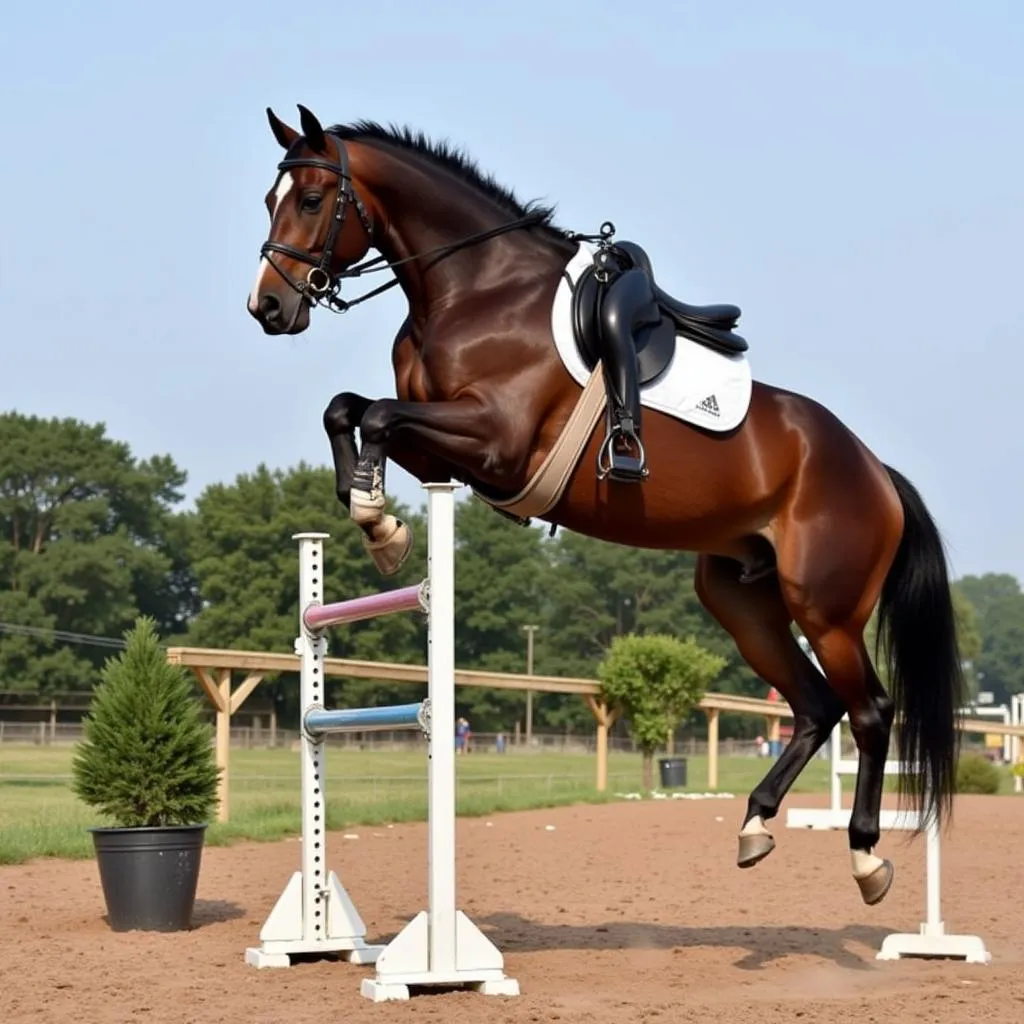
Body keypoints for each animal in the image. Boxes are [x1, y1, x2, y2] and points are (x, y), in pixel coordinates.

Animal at [243, 103, 962, 905]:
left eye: (311, 200)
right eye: (270, 200)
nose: (268, 306)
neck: (471, 290)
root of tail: (876, 472)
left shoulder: (493, 440)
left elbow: (373, 415)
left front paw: (377, 519)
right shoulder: (441, 451)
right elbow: (349, 409)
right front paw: (378, 520)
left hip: (826, 607)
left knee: (869, 712)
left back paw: (866, 856)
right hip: (742, 599)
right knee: (814, 705)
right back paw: (755, 823)